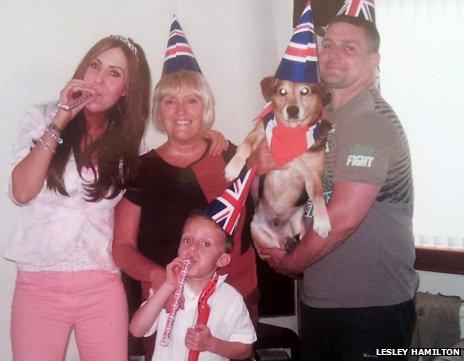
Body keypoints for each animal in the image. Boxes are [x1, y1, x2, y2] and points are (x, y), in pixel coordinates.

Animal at [224, 76, 330, 253]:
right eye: (282, 91)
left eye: (305, 91)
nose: (292, 110)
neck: (290, 132)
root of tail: (282, 235)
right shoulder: (258, 132)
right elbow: (244, 147)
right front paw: (233, 167)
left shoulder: (313, 175)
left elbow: (318, 195)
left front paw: (323, 221)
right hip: (258, 234)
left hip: (300, 228)